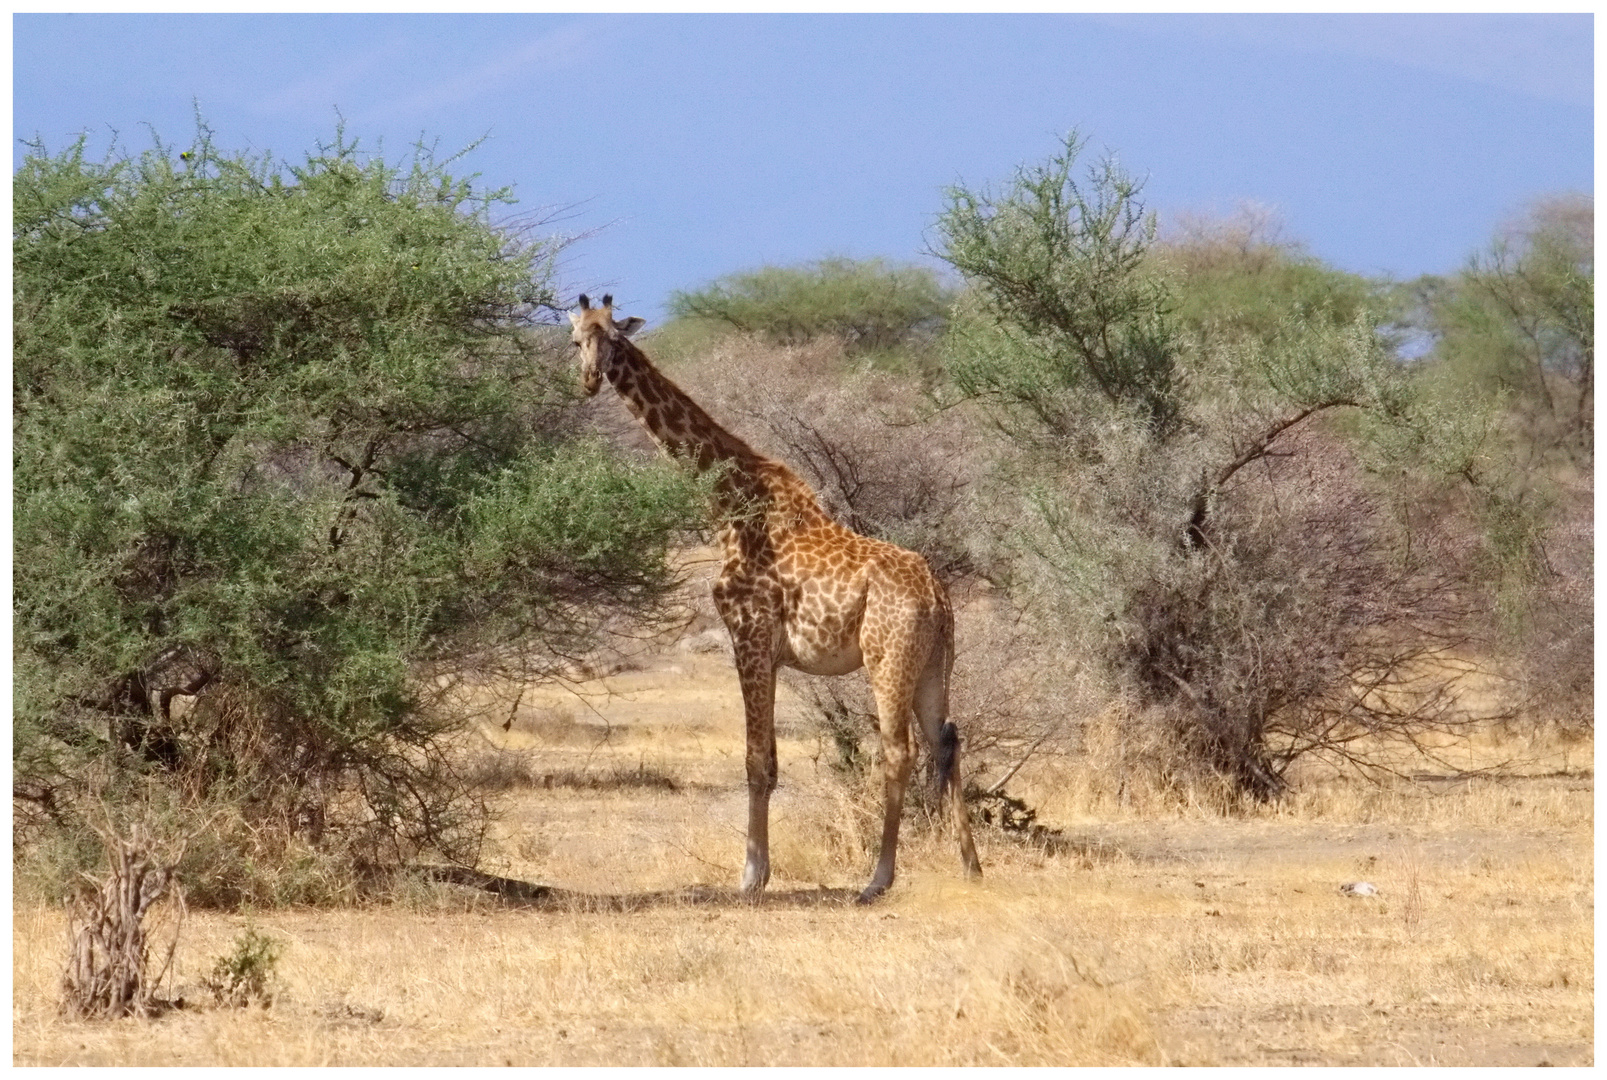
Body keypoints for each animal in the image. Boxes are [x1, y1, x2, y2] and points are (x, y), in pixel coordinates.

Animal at [572, 289, 983, 900]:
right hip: (936, 662)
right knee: (946, 741)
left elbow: (756, 761)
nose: (591, 379)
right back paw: (971, 866)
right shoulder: (766, 649)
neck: (728, 507)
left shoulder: (749, 635)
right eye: (577, 338)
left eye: (615, 338)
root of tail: (937, 595)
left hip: (888, 658)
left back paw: (877, 880)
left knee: (898, 751)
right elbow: (766, 758)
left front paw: (751, 876)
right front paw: (755, 871)